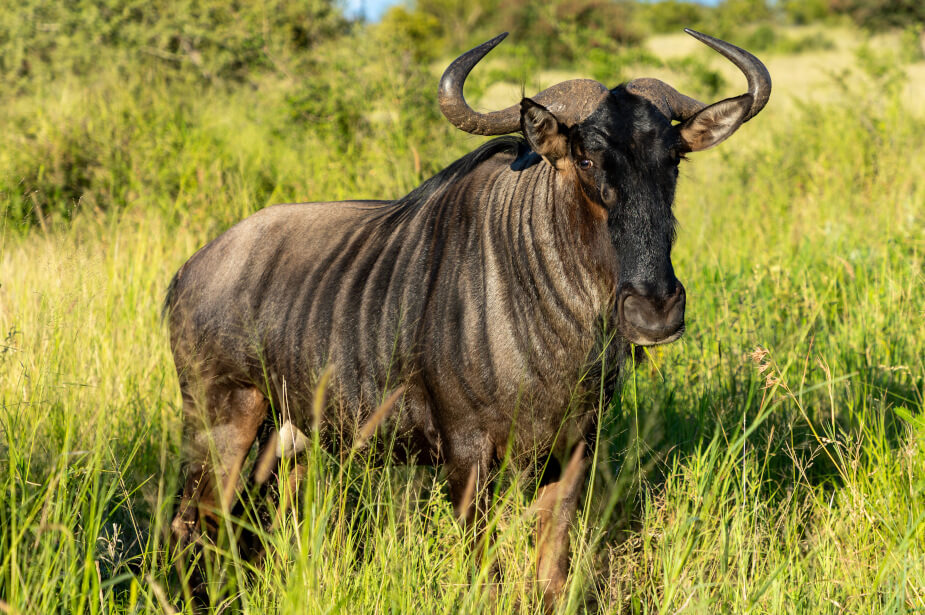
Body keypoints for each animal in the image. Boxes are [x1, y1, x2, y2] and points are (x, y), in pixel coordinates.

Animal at [165, 29, 770, 608]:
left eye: (673, 159)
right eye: (587, 159)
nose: (654, 310)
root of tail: (190, 271)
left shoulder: (573, 449)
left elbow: (552, 568)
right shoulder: (466, 455)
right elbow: (483, 568)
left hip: (289, 440)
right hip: (223, 424)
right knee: (195, 523)